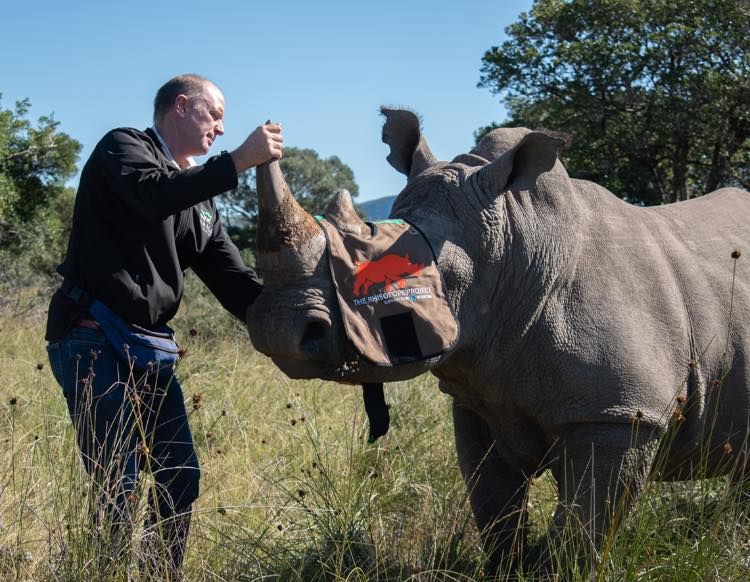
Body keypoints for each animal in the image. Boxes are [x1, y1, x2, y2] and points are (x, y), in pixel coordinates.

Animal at [246, 108, 750, 573]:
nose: (279, 327)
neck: (515, 244)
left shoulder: (620, 411)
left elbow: (583, 529)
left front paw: (556, 571)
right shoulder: (480, 396)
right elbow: (493, 508)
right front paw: (508, 568)